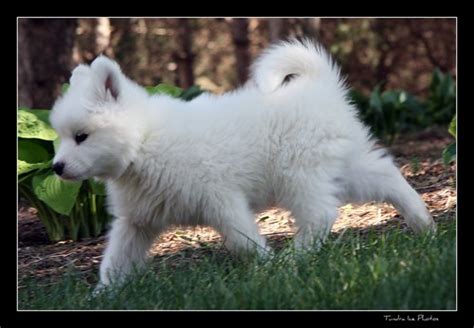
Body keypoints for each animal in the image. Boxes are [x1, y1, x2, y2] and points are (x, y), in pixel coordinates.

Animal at [50, 39, 436, 288]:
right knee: (386, 174)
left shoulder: (221, 199)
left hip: (299, 174)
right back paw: (424, 223)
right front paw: (103, 295)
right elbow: (115, 261)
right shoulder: (137, 221)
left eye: (81, 136)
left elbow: (243, 240)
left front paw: (267, 269)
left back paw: (294, 259)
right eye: (61, 136)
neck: (144, 142)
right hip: (344, 167)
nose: (56, 167)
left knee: (321, 215)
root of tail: (320, 87)